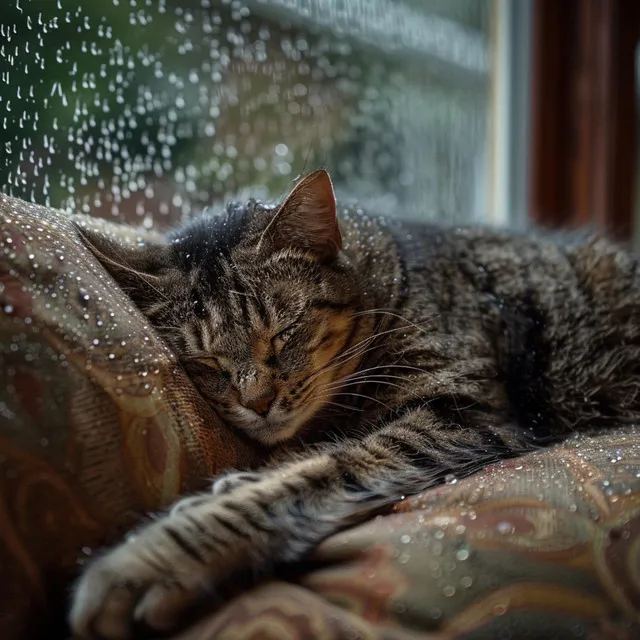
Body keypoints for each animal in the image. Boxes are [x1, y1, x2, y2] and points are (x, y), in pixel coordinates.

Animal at [67, 170, 640, 640]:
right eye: (206, 361)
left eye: (284, 334)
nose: (257, 402)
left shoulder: (464, 411)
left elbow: (319, 472)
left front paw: (154, 559)